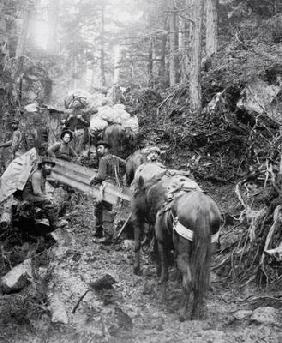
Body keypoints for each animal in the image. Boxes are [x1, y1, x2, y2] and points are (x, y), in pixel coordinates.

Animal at [131, 173, 221, 322]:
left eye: (135, 193)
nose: (133, 219)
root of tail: (202, 208)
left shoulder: (163, 244)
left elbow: (165, 273)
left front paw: (162, 298)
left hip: (182, 255)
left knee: (189, 282)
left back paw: (183, 313)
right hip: (207, 256)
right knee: (203, 282)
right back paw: (197, 312)